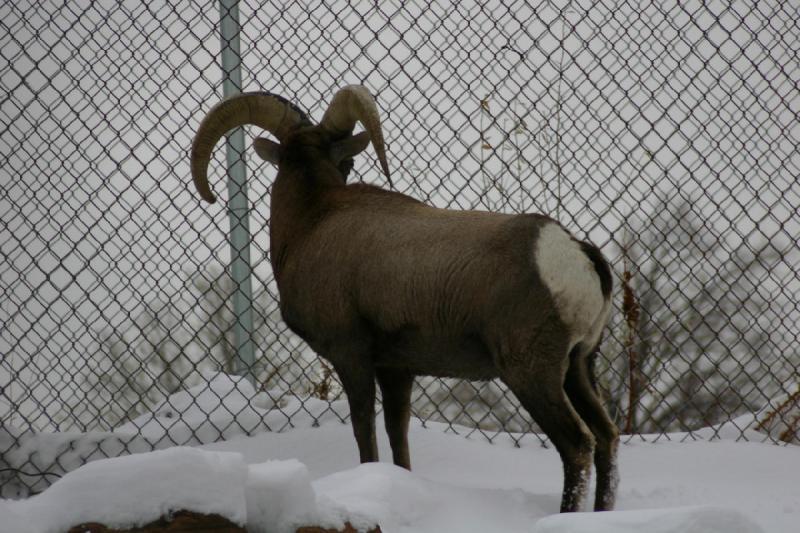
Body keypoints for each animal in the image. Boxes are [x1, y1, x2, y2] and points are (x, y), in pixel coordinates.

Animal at [192, 84, 620, 512]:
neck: (312, 222)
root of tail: (573, 253)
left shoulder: (352, 356)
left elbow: (364, 429)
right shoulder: (396, 368)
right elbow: (398, 435)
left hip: (531, 373)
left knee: (577, 445)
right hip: (578, 367)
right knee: (607, 438)